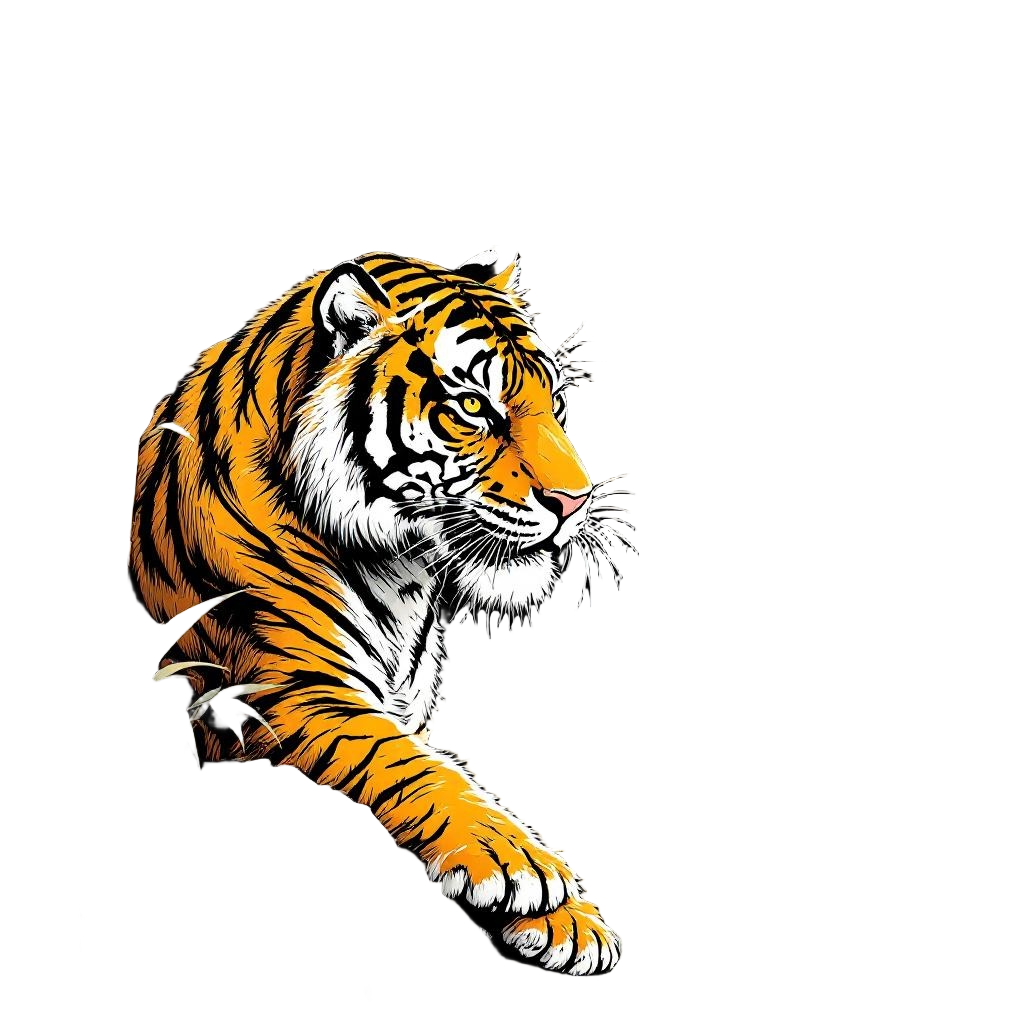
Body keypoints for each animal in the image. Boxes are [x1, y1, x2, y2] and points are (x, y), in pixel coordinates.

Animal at [123, 244, 642, 978]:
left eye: (558, 401)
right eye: (473, 407)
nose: (576, 501)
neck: (405, 573)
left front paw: (573, 923)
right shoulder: (284, 688)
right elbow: (412, 763)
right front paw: (519, 862)